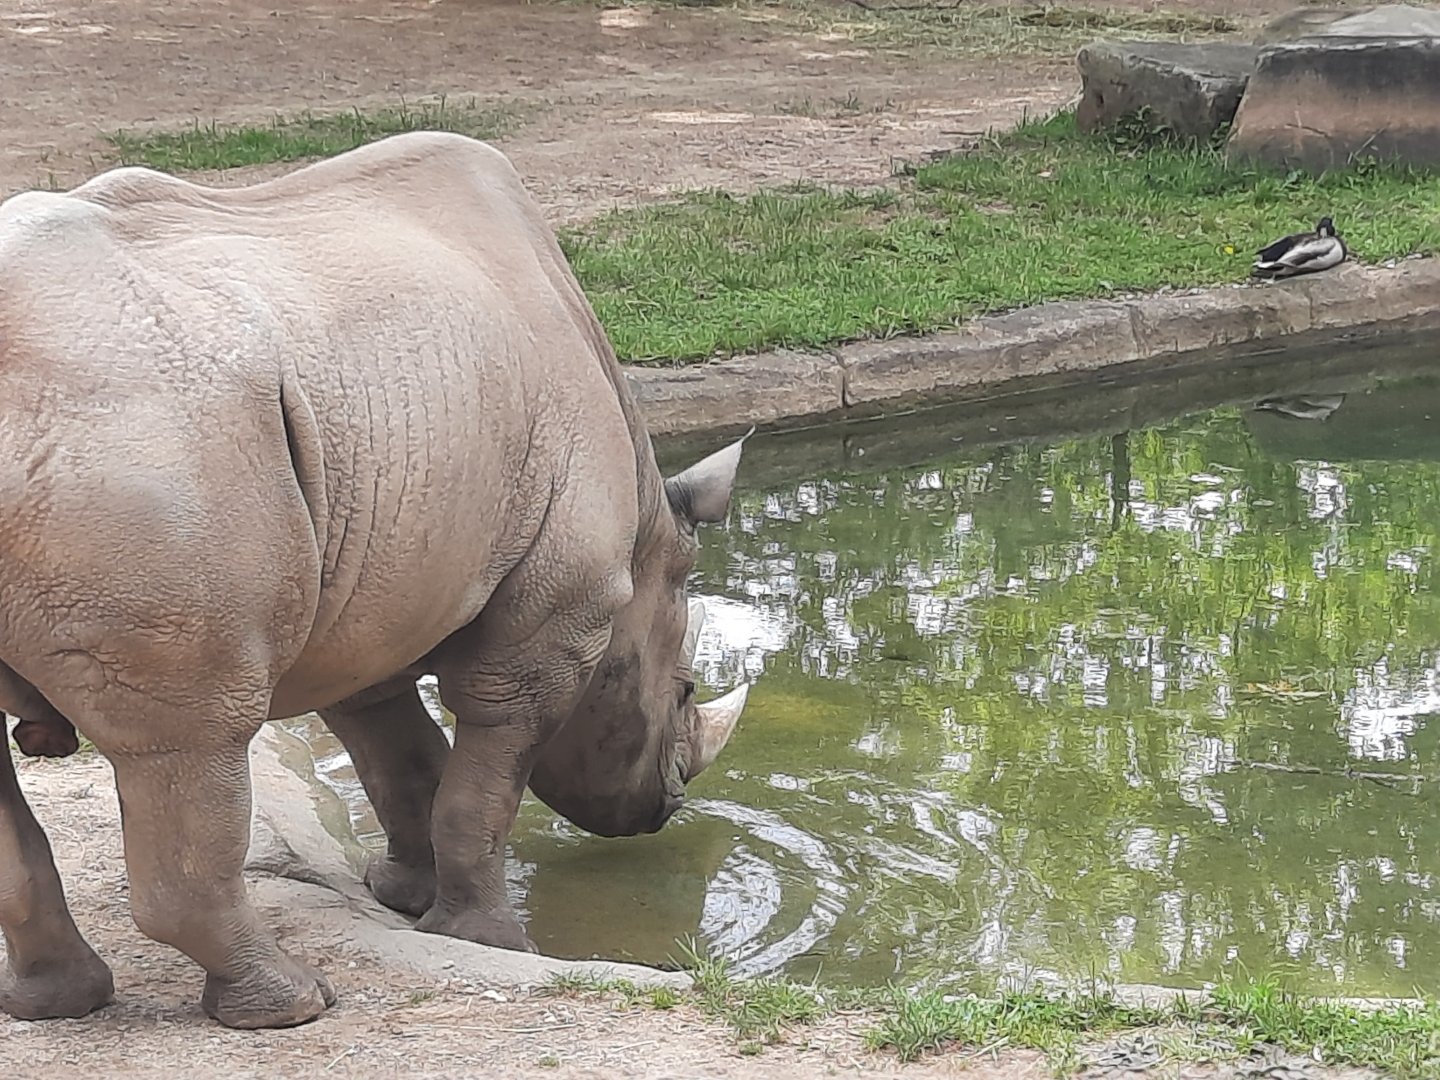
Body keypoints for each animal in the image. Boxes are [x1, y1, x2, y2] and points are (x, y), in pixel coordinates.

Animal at [0, 132, 750, 1030]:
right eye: (685, 691)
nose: (664, 807)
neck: (645, 538)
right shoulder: (554, 618)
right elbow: (481, 778)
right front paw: (489, 942)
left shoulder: (375, 590)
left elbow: (403, 755)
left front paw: (401, 897)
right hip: (139, 460)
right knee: (193, 738)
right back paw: (295, 1004)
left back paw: (52, 1004)